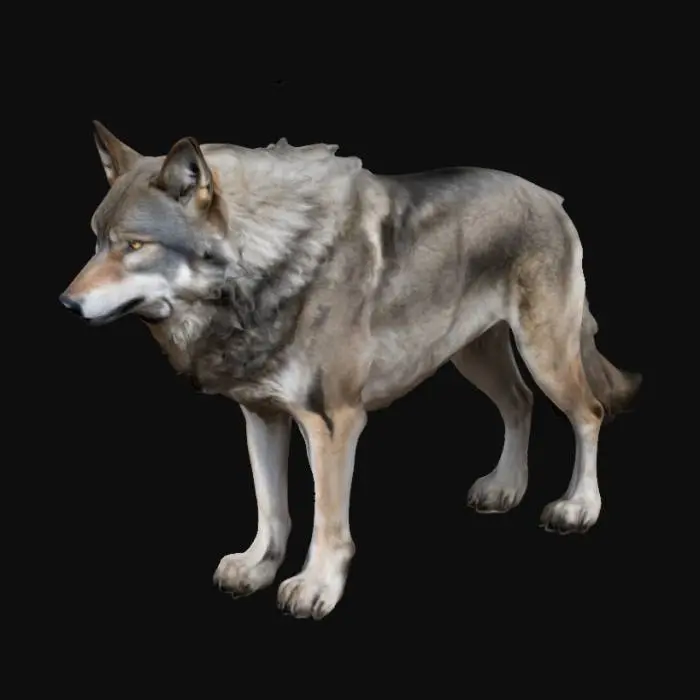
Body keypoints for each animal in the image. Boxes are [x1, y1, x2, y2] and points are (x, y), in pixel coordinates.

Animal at [60, 122, 641, 619]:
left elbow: (327, 520)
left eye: (134, 246)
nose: (65, 304)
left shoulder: (334, 423)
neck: (267, 267)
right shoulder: (261, 415)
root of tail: (549, 197)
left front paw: (316, 587)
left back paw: (578, 507)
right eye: (96, 240)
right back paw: (505, 488)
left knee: (588, 413)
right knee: (520, 404)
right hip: (475, 356)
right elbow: (271, 508)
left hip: (544, 354)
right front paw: (257, 568)